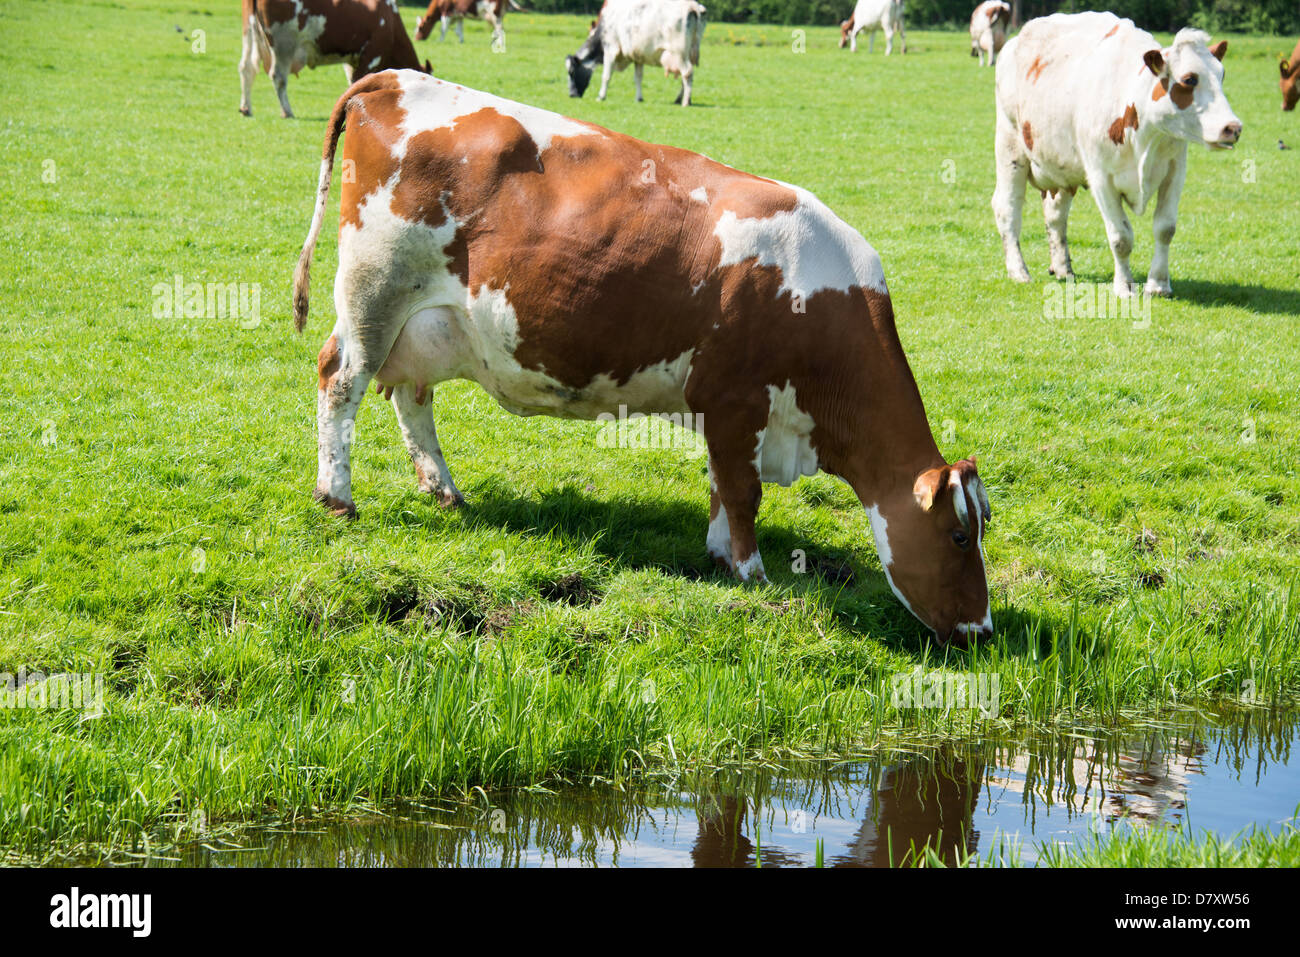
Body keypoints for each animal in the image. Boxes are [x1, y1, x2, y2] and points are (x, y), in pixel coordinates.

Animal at [236, 0, 428, 118]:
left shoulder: (351, 60)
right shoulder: (371, 54)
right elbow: (358, 82)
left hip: (250, 34)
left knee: (246, 68)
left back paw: (246, 108)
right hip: (284, 43)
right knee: (278, 77)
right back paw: (287, 111)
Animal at [292, 70, 993, 642]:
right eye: (959, 535)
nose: (982, 631)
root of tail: (392, 79)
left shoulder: (726, 414)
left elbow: (720, 485)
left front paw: (718, 557)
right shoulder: (736, 402)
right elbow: (742, 493)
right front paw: (753, 573)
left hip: (426, 324)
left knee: (413, 398)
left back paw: (445, 490)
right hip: (373, 294)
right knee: (340, 380)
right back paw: (337, 496)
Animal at [564, 0, 707, 106]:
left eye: (571, 72)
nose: (572, 95)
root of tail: (693, 6)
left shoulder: (610, 49)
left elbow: (606, 76)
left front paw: (601, 96)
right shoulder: (638, 57)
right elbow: (638, 78)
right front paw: (639, 98)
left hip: (679, 53)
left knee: (687, 73)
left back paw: (685, 102)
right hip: (689, 54)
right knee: (686, 76)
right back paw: (680, 99)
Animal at [993, 13, 1237, 297]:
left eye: (1222, 75)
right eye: (1189, 79)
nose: (1233, 127)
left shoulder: (1175, 171)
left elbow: (1165, 229)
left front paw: (1158, 285)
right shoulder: (1101, 179)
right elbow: (1121, 237)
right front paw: (1124, 287)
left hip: (1062, 168)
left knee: (1055, 216)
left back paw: (1063, 268)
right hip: (1009, 146)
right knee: (1007, 208)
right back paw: (1019, 271)